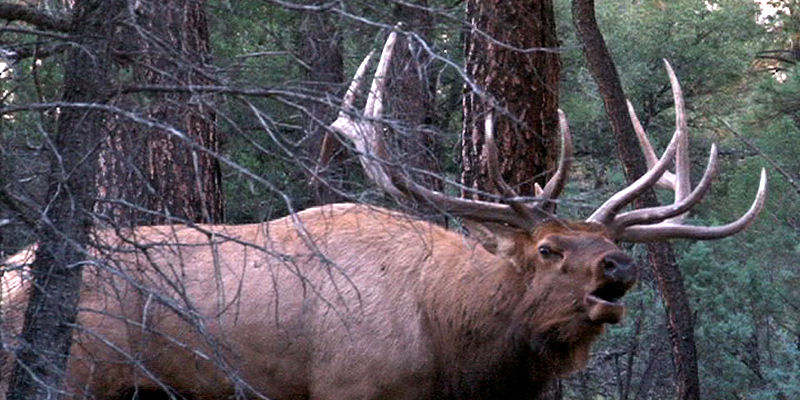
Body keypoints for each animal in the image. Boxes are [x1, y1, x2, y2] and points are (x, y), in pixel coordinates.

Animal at [1, 32, 768, 400]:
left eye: (604, 239)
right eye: (548, 248)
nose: (622, 263)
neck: (452, 347)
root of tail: (10, 270)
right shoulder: (348, 386)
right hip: (76, 371)